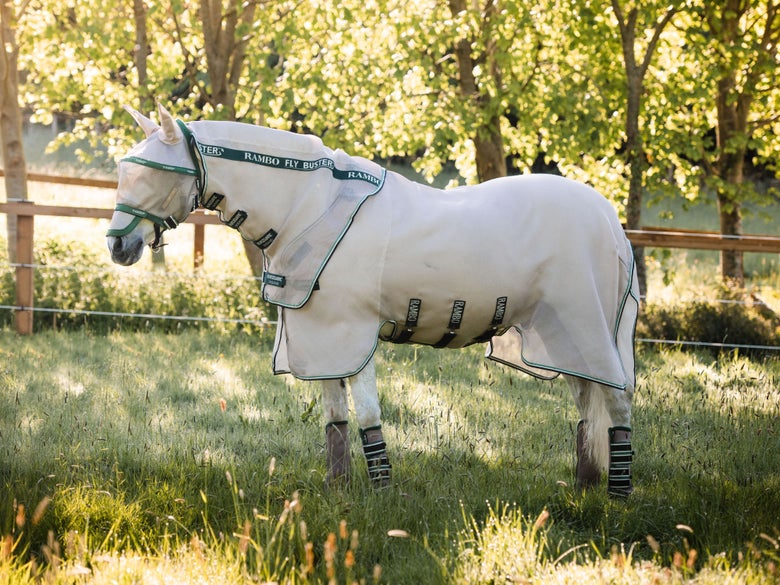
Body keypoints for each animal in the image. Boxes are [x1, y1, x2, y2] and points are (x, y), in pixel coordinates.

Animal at [107, 104, 640, 498]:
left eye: (157, 174)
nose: (117, 246)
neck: (312, 208)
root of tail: (608, 219)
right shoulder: (320, 338)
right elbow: (335, 417)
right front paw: (339, 487)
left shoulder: (353, 334)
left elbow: (366, 414)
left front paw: (382, 491)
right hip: (563, 337)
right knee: (587, 402)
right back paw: (586, 483)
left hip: (590, 329)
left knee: (617, 400)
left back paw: (617, 494)